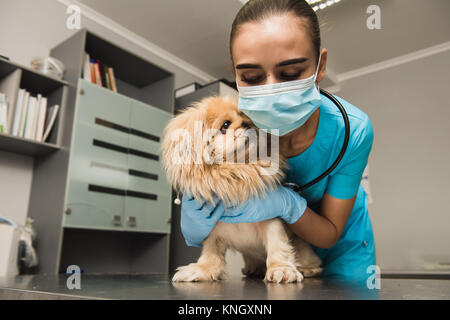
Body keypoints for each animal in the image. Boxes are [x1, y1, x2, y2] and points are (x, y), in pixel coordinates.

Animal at [160, 95, 322, 282]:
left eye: (248, 117)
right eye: (225, 125)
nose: (247, 123)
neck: (236, 174)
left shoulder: (270, 219)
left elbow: (277, 245)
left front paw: (282, 269)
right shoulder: (212, 229)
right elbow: (211, 254)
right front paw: (202, 269)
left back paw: (307, 269)